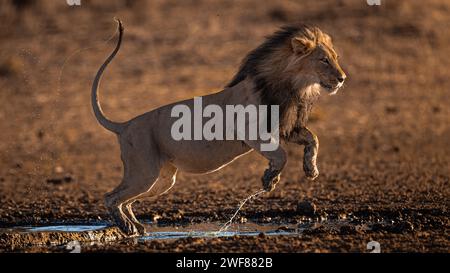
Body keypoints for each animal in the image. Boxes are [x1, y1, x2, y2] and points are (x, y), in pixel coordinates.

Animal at [90, 19, 344, 234]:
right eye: (324, 60)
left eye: (335, 57)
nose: (342, 78)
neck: (294, 87)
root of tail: (124, 125)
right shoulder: (251, 131)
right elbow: (281, 155)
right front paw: (269, 180)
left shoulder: (286, 126)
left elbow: (313, 139)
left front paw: (311, 170)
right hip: (144, 171)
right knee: (111, 197)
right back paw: (126, 227)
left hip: (162, 179)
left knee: (127, 200)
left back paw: (136, 227)